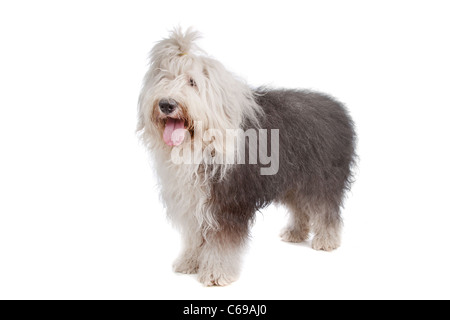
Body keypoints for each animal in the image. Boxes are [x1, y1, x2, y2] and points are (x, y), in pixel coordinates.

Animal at [136, 27, 356, 286]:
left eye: (192, 82)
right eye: (164, 78)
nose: (166, 104)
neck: (201, 143)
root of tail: (337, 107)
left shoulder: (226, 202)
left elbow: (222, 242)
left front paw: (216, 272)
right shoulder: (193, 200)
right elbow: (194, 234)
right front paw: (189, 261)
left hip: (321, 179)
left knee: (325, 208)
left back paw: (326, 239)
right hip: (293, 180)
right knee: (300, 207)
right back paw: (295, 232)